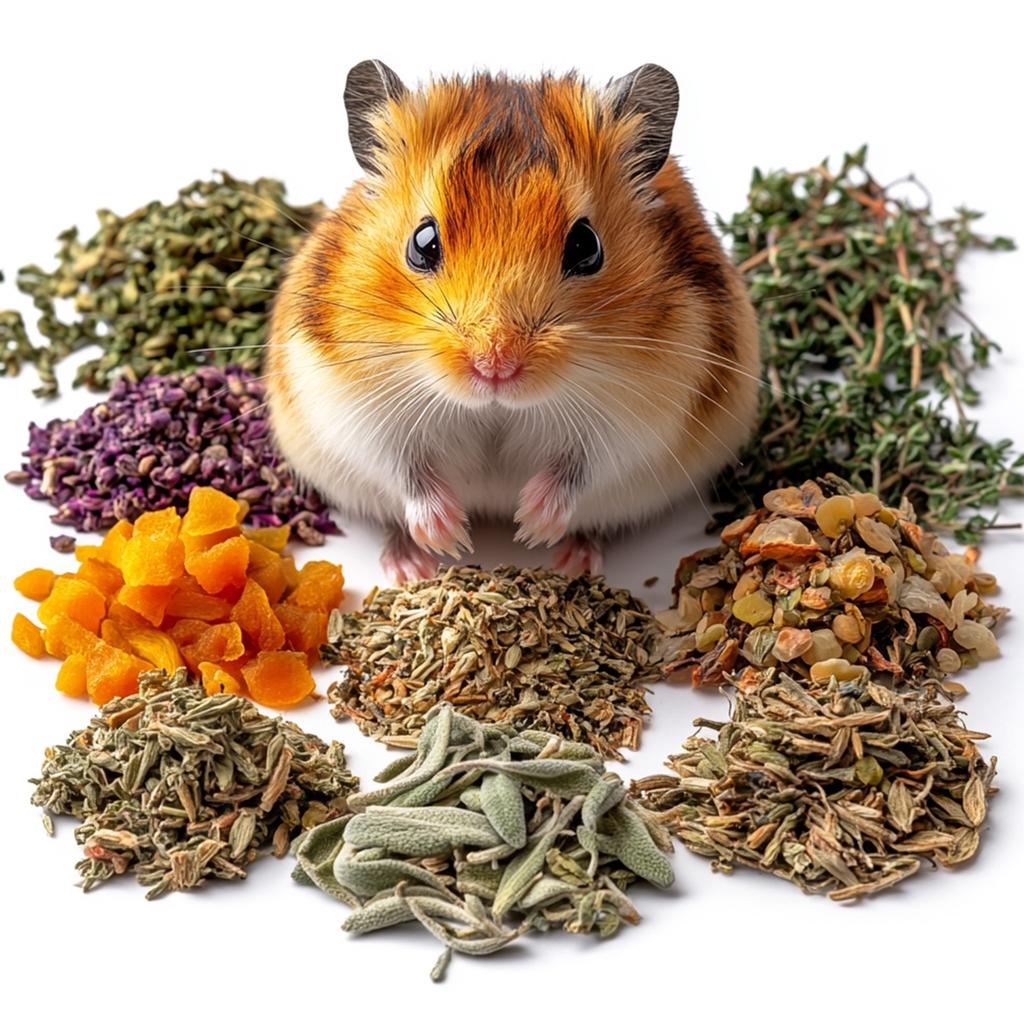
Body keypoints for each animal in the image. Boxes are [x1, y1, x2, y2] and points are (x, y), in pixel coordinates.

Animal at [267, 60, 760, 581]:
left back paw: (574, 560)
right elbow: (405, 471)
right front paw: (452, 538)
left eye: (586, 246)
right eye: (422, 242)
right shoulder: (349, 406)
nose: (495, 367)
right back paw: (410, 567)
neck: (497, 409)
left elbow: (582, 469)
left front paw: (529, 527)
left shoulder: (646, 414)